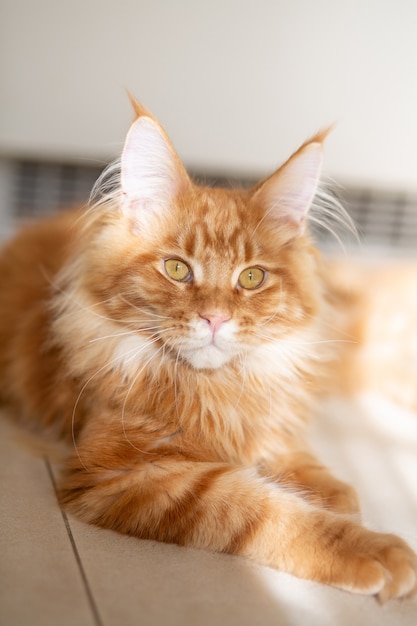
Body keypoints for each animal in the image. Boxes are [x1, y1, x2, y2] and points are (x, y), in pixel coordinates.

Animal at [0, 98, 416, 600]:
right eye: (177, 269)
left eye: (252, 277)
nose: (215, 318)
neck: (218, 386)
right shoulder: (127, 476)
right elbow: (265, 509)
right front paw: (367, 547)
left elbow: (289, 446)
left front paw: (330, 489)